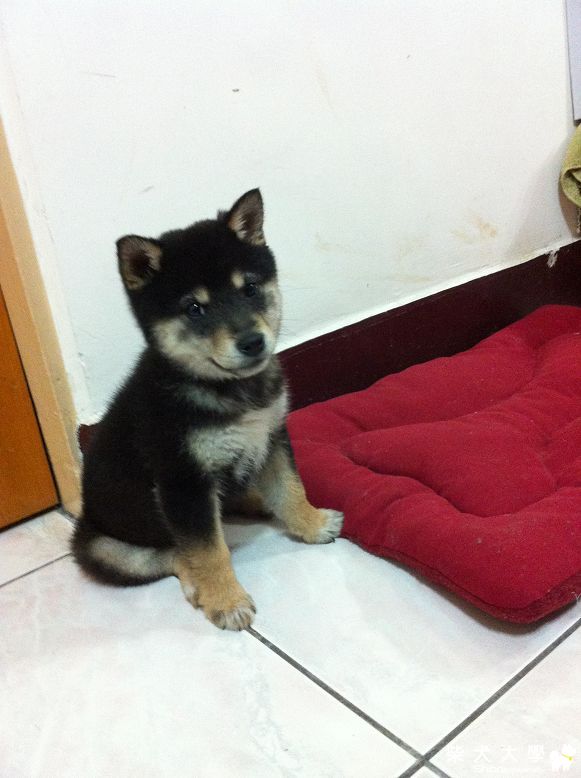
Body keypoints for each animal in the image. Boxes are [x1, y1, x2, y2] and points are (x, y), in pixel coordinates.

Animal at [72, 189, 343, 630]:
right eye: (194, 308)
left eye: (250, 288)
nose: (252, 342)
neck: (230, 390)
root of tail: (83, 521)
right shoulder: (183, 482)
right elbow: (208, 552)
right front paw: (226, 600)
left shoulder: (271, 437)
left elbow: (289, 489)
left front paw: (311, 522)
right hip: (106, 549)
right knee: (173, 556)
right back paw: (196, 582)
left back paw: (253, 499)